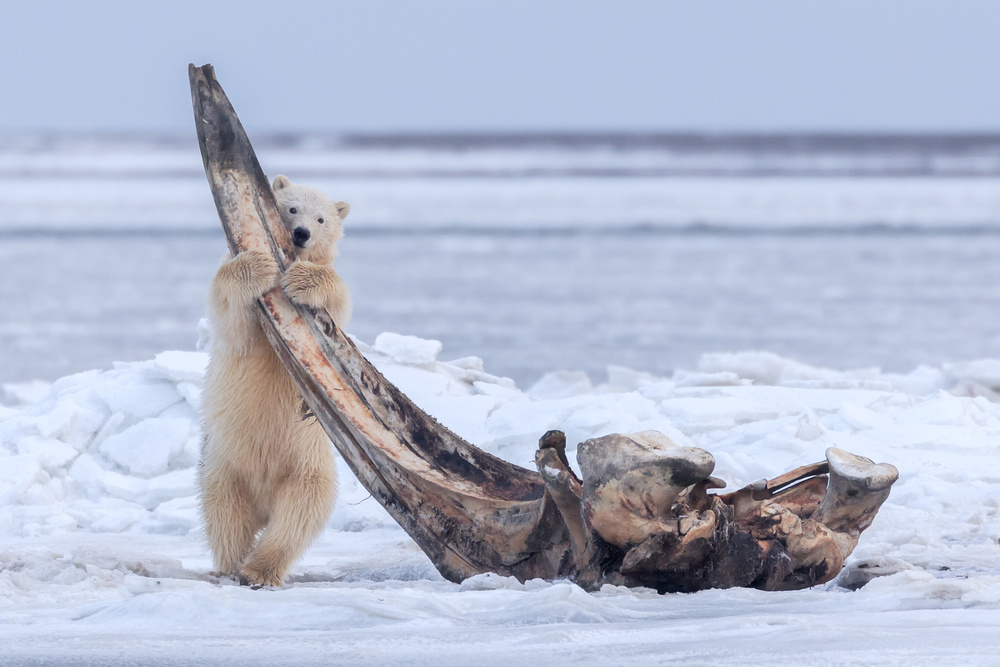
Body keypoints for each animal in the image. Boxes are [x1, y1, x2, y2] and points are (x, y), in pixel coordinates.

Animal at [198, 175, 352, 588]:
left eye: (321, 218)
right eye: (292, 207)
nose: (300, 234)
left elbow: (336, 303)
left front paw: (303, 278)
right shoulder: (242, 323)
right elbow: (232, 316)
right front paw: (258, 265)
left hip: (306, 467)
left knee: (298, 516)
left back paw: (261, 569)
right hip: (224, 464)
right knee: (226, 514)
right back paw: (232, 566)